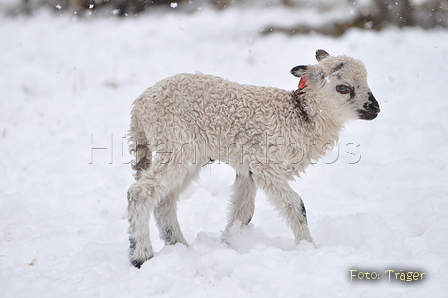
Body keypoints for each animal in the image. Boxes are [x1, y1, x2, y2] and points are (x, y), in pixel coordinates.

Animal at [127, 49, 382, 268]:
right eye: (343, 88)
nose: (375, 108)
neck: (301, 117)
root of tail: (139, 105)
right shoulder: (265, 164)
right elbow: (296, 205)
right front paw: (308, 248)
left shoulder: (247, 170)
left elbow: (243, 212)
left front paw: (228, 245)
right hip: (176, 145)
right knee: (140, 193)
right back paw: (141, 256)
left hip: (191, 156)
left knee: (165, 201)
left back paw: (181, 247)